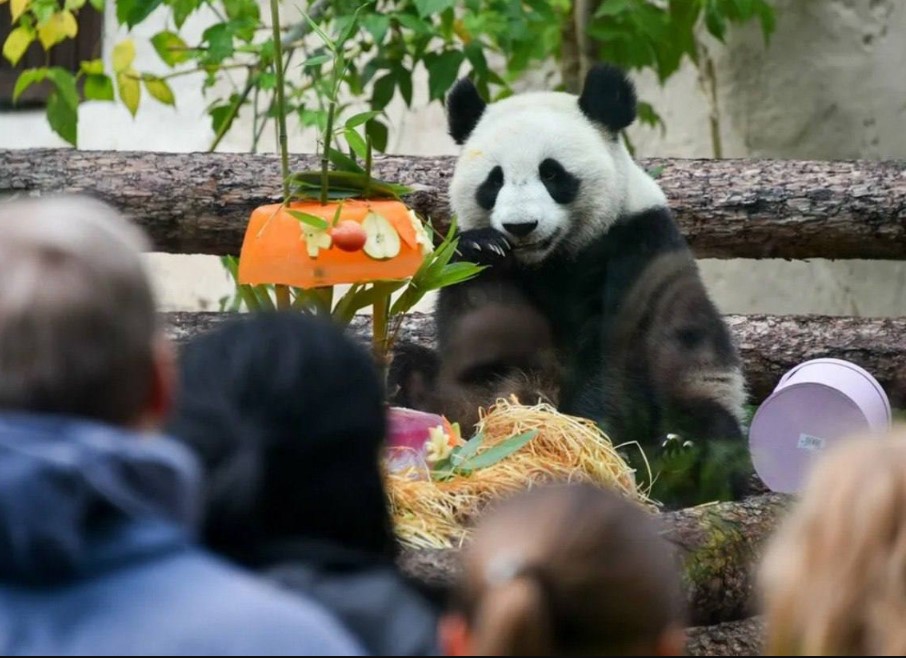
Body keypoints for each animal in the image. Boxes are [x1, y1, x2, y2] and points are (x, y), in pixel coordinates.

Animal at [432, 62, 748, 446]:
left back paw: (678, 447)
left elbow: (623, 351)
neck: (550, 261)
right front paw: (482, 249)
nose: (520, 226)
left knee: (708, 422)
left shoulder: (637, 242)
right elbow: (481, 348)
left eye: (552, 173)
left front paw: (589, 429)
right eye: (494, 181)